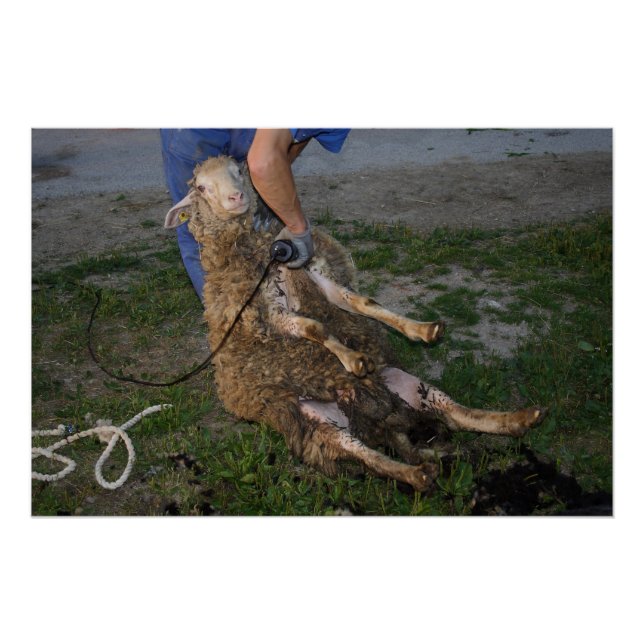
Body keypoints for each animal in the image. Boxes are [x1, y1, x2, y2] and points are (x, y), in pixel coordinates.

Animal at [164, 156, 547, 491]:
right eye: (200, 187)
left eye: (239, 171)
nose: (237, 197)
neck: (262, 254)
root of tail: (380, 420)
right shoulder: (267, 313)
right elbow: (313, 327)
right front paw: (353, 359)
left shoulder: (316, 277)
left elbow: (363, 304)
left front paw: (421, 329)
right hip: (317, 425)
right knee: (366, 455)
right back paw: (416, 473)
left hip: (408, 385)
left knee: (455, 413)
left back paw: (518, 419)